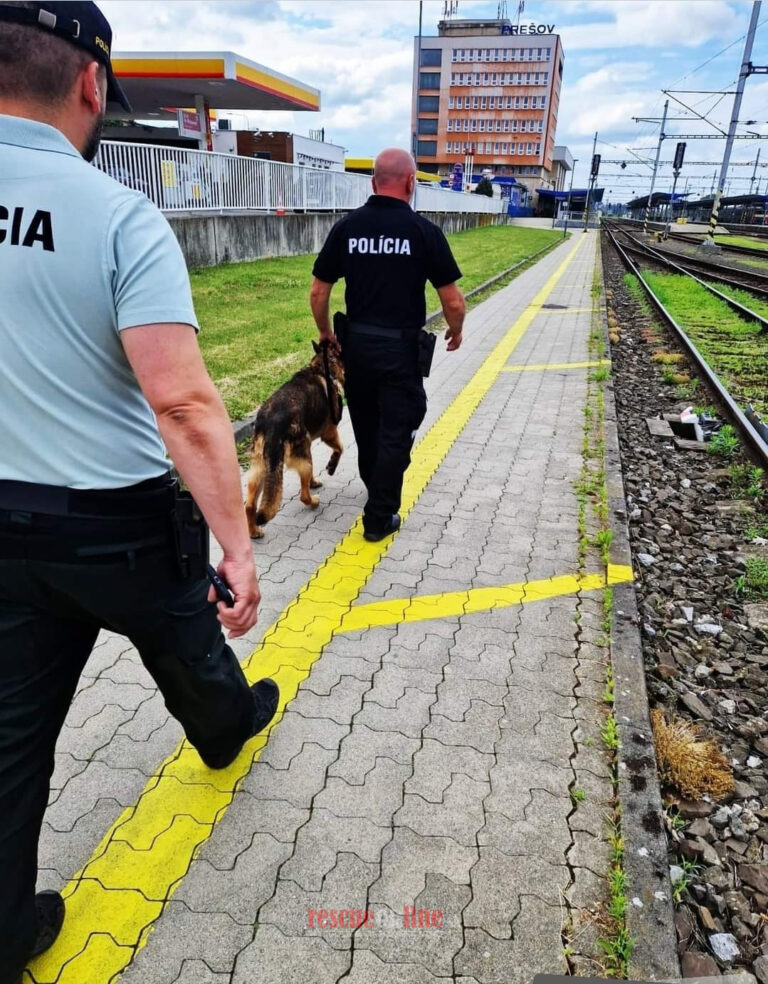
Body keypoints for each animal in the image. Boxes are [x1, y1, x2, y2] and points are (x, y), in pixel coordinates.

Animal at [246, 340, 344, 540]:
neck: (321, 366)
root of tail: (271, 424)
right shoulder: (330, 432)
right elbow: (340, 449)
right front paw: (331, 466)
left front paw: (314, 481)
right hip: (303, 459)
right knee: (303, 496)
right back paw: (313, 502)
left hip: (261, 467)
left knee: (249, 504)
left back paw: (254, 532)